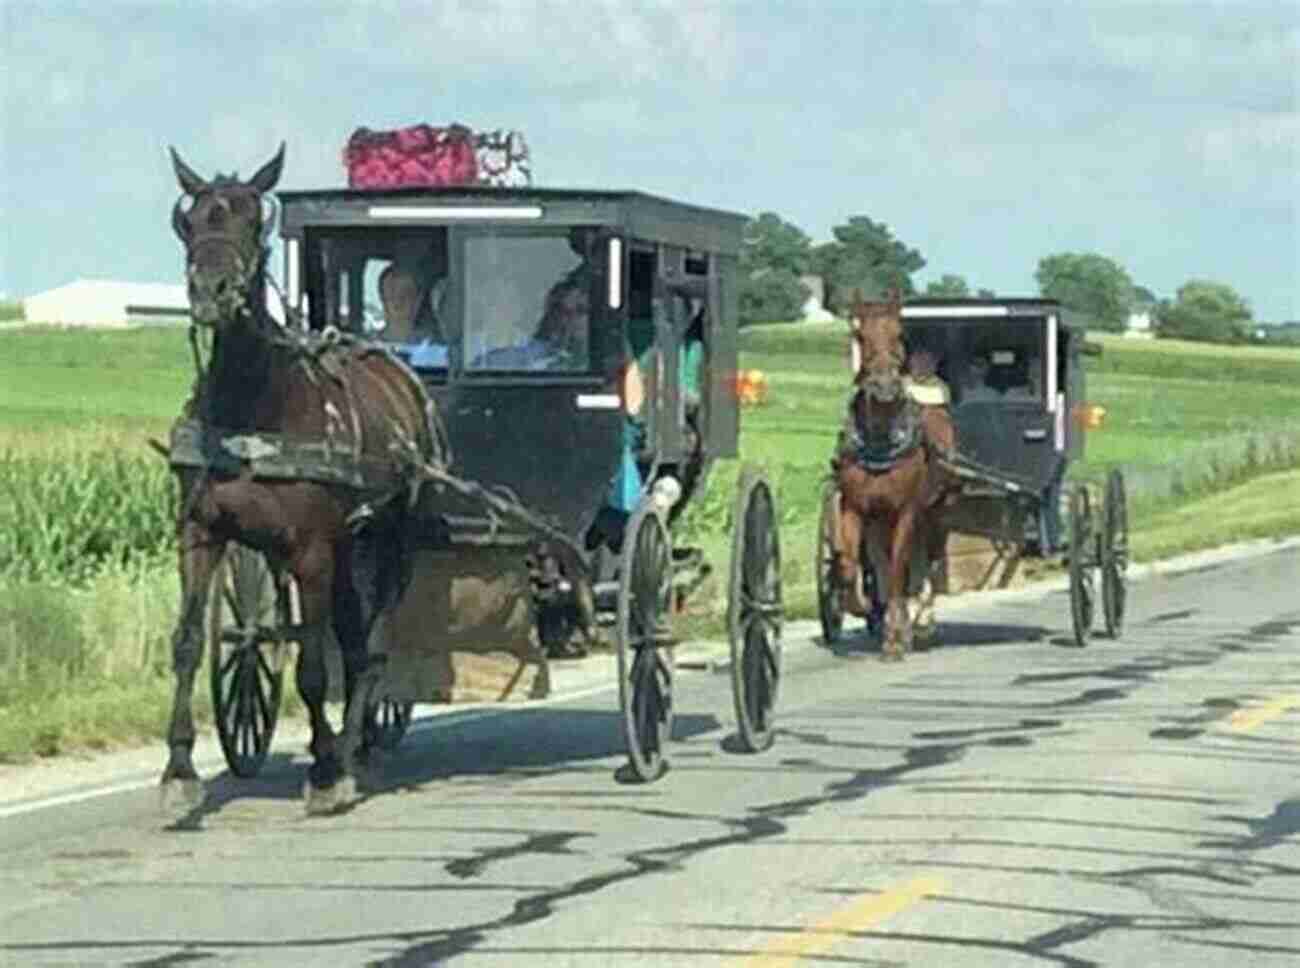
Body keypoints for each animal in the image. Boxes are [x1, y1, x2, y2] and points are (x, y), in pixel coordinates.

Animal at [155, 141, 441, 805]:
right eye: (191, 220)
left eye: (251, 221)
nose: (211, 290)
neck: (252, 408)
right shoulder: (201, 533)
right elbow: (188, 643)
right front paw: (180, 769)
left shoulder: (310, 547)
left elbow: (312, 663)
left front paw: (325, 768)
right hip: (347, 543)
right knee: (352, 633)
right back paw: (355, 741)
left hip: (391, 535)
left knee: (373, 639)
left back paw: (352, 746)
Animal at [832, 291, 956, 660]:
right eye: (859, 335)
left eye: (900, 333)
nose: (885, 386)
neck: (881, 443)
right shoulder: (856, 508)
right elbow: (853, 564)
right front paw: (860, 606)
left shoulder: (906, 511)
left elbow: (900, 567)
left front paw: (896, 637)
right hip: (882, 518)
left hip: (936, 512)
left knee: (928, 559)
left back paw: (922, 621)